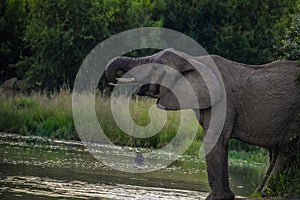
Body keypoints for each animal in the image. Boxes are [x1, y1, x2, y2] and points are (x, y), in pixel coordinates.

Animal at [105, 48, 300, 200]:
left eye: (155, 67)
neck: (194, 59)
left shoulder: (224, 102)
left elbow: (214, 139)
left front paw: (216, 198)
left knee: (286, 151)